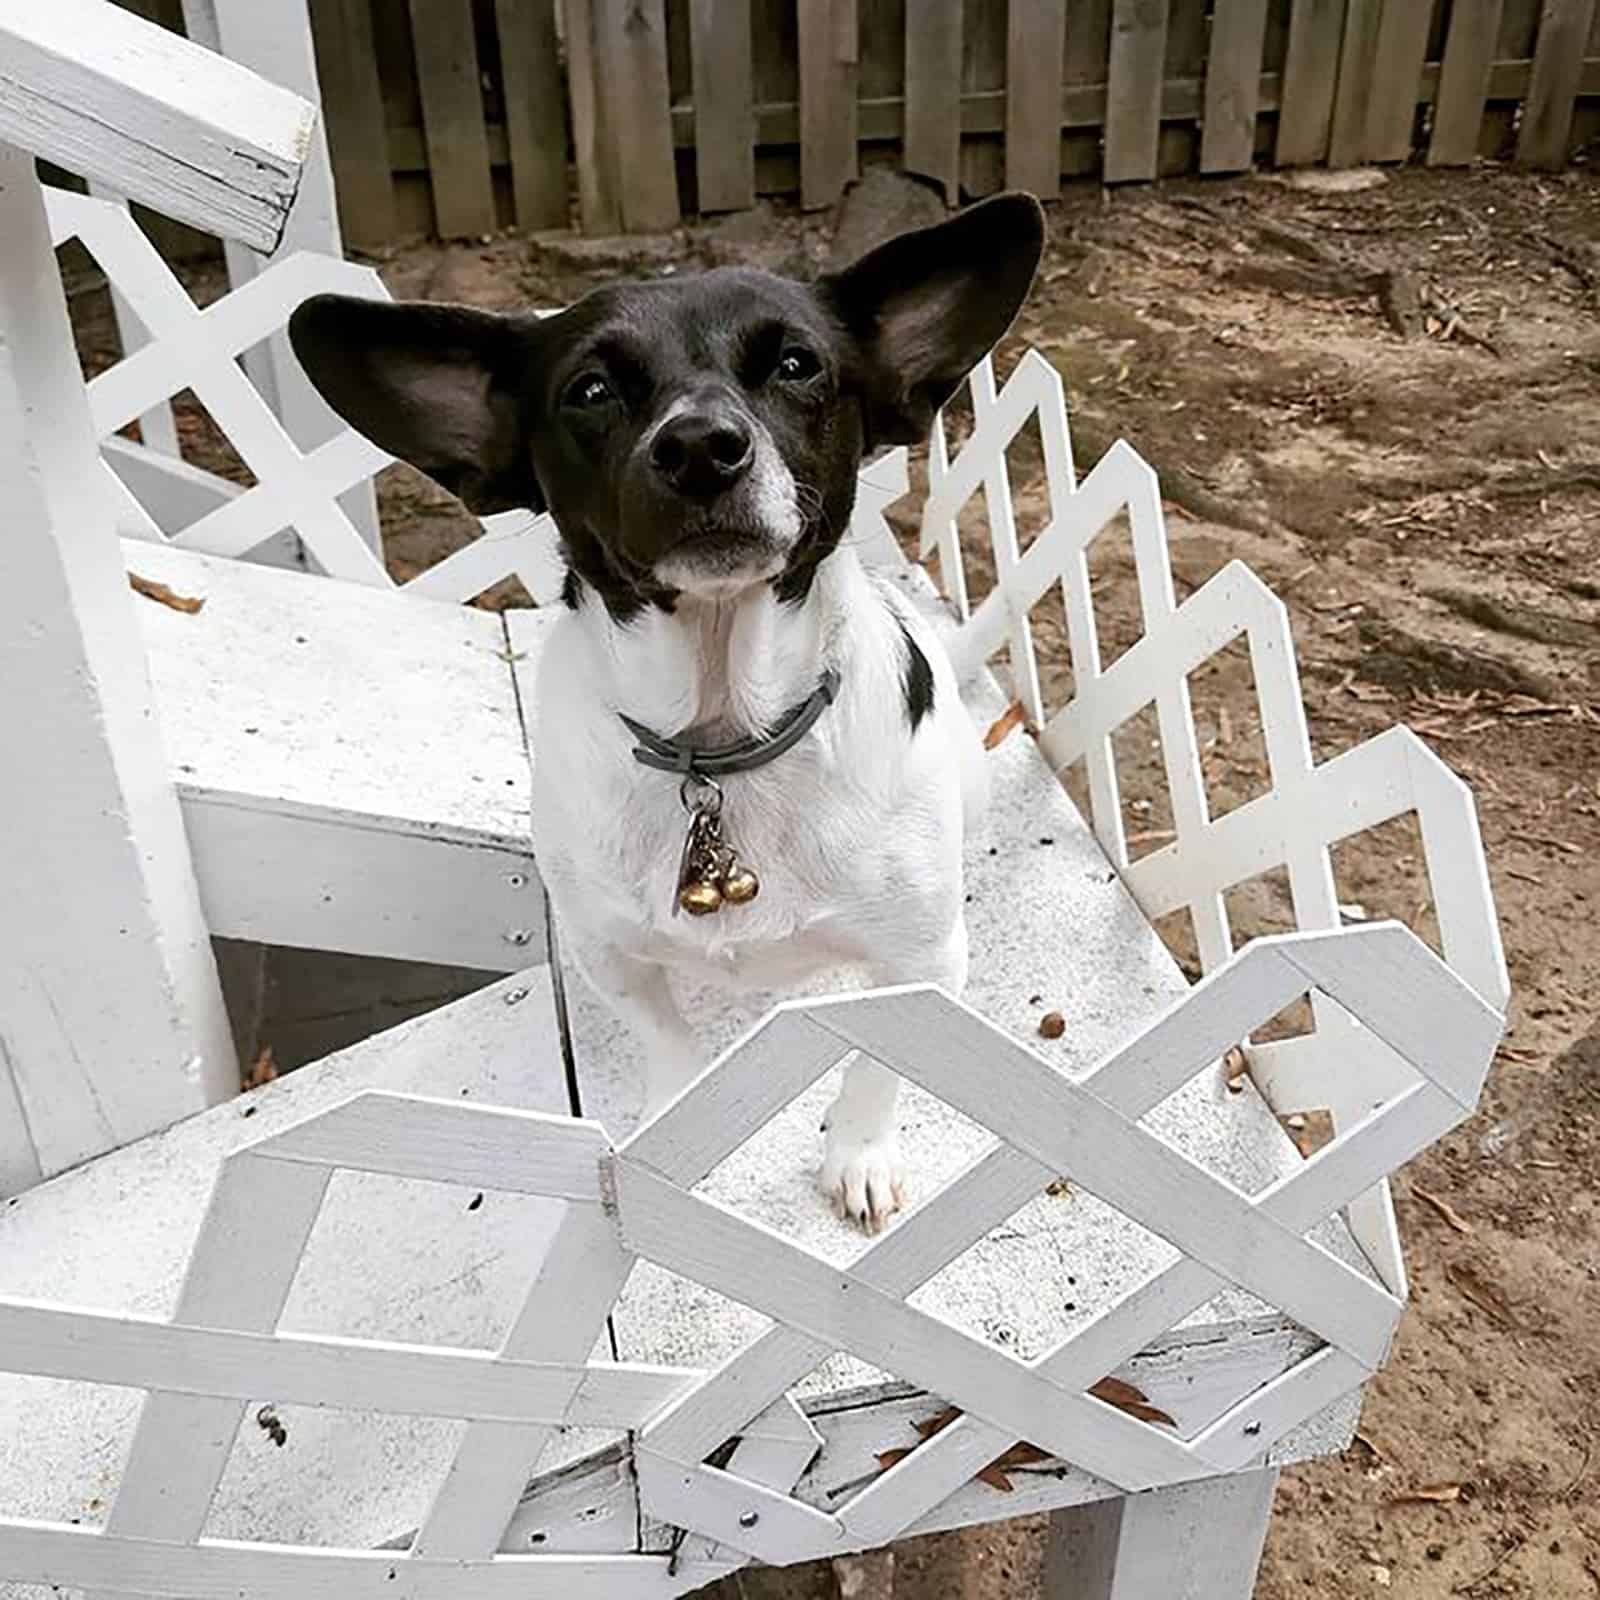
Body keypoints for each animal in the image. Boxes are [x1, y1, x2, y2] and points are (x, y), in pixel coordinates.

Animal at [289, 193, 1043, 1228]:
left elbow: (878, 1066)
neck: (721, 736)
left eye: (798, 365)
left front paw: (858, 1152)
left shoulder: (922, 962)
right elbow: (669, 1044)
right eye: (591, 390)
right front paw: (677, 1127)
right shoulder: (609, 953)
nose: (699, 447)